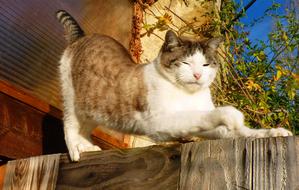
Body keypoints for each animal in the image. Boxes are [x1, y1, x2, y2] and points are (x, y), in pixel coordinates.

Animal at [55, 10, 292, 161]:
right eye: (185, 62)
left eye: (206, 64)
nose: (197, 74)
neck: (189, 95)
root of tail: (82, 36)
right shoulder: (161, 122)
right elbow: (203, 116)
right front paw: (233, 114)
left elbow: (240, 132)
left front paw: (273, 132)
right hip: (71, 96)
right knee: (70, 123)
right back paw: (76, 148)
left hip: (95, 108)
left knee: (85, 126)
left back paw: (87, 146)